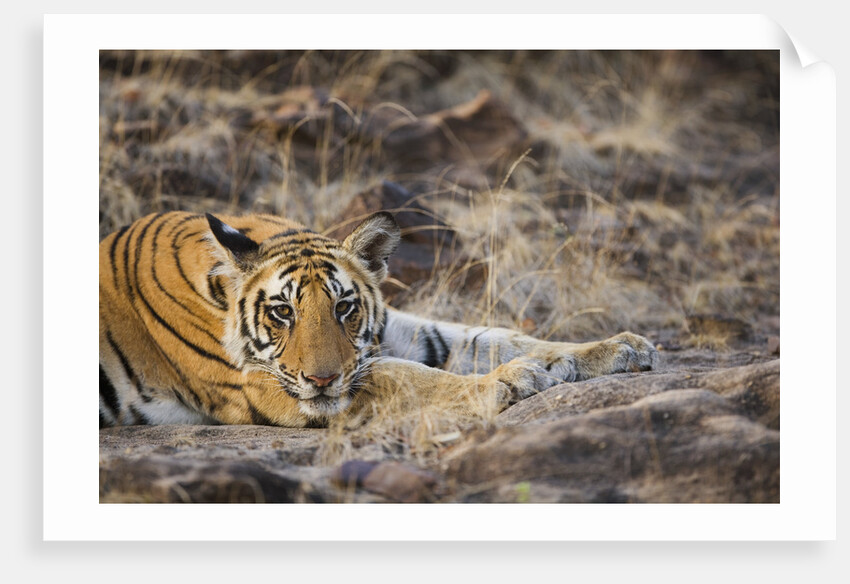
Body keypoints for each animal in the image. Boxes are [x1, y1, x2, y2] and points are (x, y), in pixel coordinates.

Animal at [99, 210, 659, 428]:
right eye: (282, 312)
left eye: (344, 307)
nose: (322, 379)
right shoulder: (264, 385)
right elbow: (409, 378)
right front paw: (509, 382)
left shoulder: (394, 332)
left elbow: (495, 336)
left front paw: (618, 348)